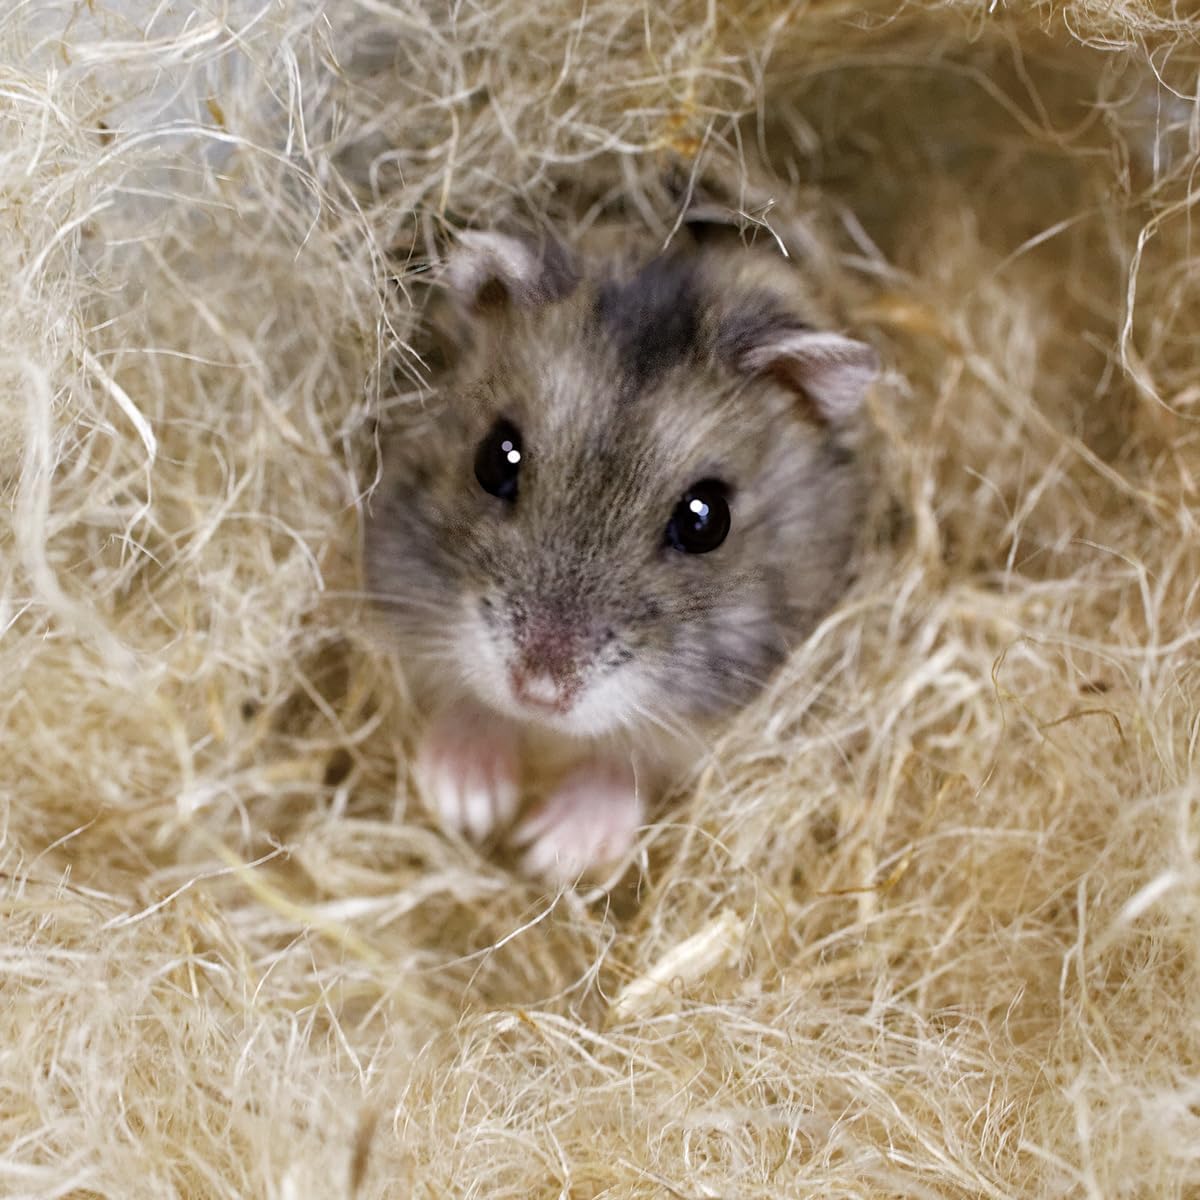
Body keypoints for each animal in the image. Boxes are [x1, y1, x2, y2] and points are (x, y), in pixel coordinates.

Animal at [365, 219, 878, 884]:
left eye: (706, 519)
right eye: (494, 459)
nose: (539, 693)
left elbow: (628, 765)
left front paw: (545, 851)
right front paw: (465, 802)